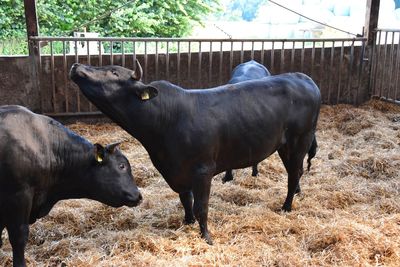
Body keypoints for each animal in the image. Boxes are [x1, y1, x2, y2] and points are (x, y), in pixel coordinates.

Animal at [70, 60, 320, 245]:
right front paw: (187, 222)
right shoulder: (176, 170)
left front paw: (206, 237)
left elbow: (201, 206)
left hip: (300, 140)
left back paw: (286, 206)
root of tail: (304, 78)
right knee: (295, 172)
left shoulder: (203, 170)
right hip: (285, 145)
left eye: (113, 72)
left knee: (294, 173)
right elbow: (185, 199)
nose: (76, 65)